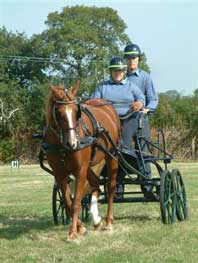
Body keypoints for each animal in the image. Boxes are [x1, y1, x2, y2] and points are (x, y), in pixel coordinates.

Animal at [44, 81, 120, 240]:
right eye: (58, 112)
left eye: (76, 111)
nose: (72, 143)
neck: (62, 146)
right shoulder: (59, 173)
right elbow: (67, 202)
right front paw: (81, 228)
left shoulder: (80, 170)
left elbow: (76, 203)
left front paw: (73, 232)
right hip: (89, 166)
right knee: (96, 185)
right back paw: (97, 220)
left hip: (112, 156)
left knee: (110, 187)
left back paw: (108, 222)